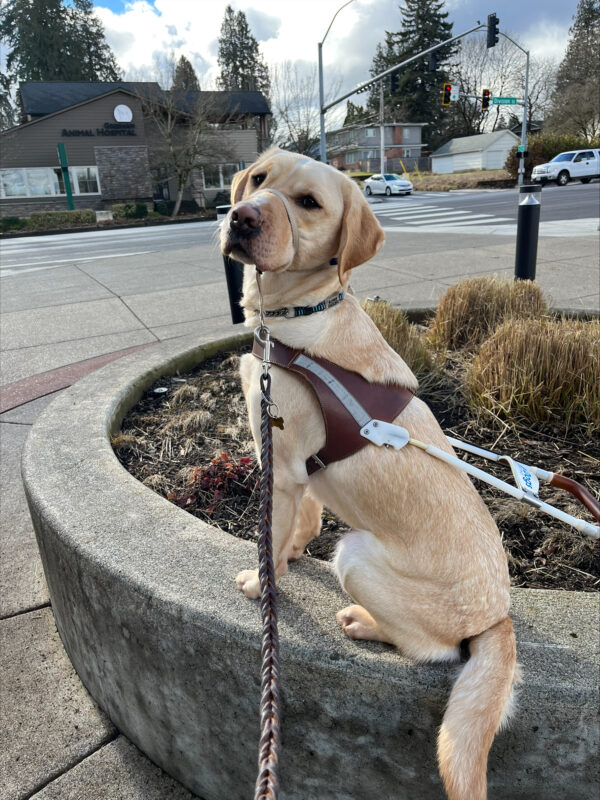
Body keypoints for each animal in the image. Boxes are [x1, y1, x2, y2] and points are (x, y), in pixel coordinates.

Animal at [220, 147, 520, 796]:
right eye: (258, 179)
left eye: (309, 203)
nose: (241, 218)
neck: (296, 314)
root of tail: (499, 617)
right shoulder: (299, 470)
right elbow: (301, 524)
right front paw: (290, 557)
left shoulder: (280, 466)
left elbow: (270, 536)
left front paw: (263, 584)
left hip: (355, 554)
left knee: (432, 652)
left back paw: (363, 623)